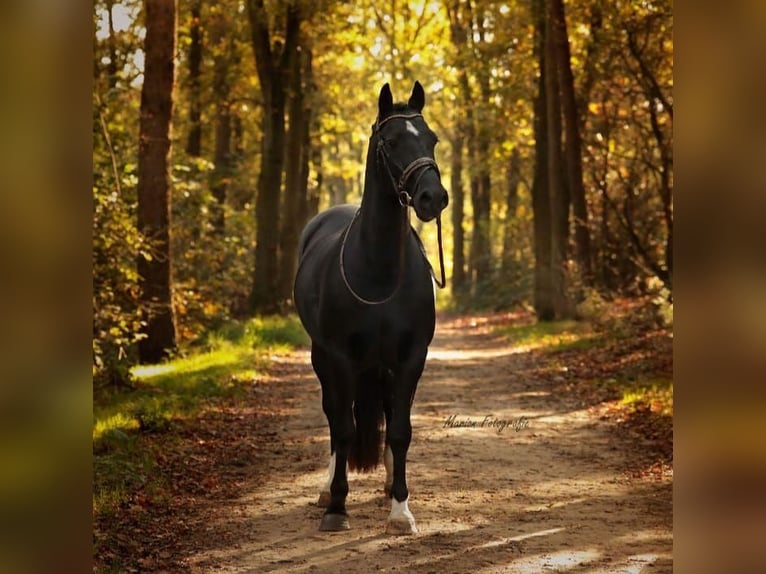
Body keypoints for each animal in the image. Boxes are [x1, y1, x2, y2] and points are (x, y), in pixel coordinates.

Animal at [293, 81, 448, 535]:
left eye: (432, 139)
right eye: (391, 142)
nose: (433, 198)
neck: (378, 270)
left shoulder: (411, 358)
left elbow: (400, 430)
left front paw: (401, 509)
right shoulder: (340, 358)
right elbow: (343, 428)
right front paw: (336, 507)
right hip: (324, 359)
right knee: (334, 417)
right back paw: (328, 487)